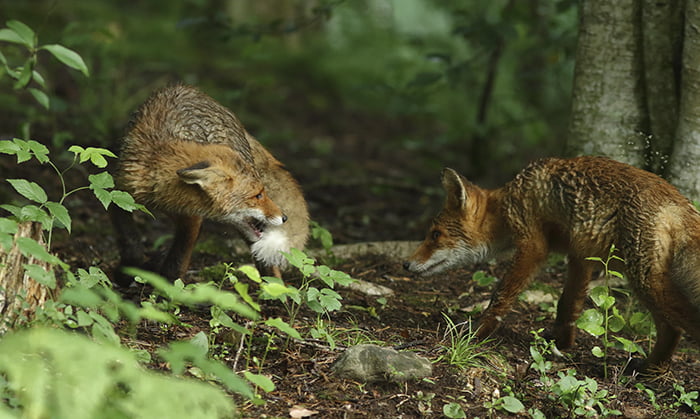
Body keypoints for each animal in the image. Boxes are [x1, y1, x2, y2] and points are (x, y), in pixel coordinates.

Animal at [110, 83, 308, 284]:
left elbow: (177, 261)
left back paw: (276, 287)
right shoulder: (118, 192)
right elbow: (130, 240)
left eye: (263, 192)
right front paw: (128, 269)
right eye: (258, 195)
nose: (285, 217)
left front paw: (170, 287)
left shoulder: (191, 219)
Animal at [402, 157, 700, 370]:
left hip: (644, 279)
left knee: (679, 324)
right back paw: (651, 367)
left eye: (435, 235)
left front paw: (476, 333)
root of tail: (681, 203)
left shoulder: (533, 246)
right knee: (671, 329)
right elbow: (569, 304)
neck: (509, 201)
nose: (405, 264)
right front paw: (562, 342)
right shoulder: (580, 254)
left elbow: (501, 295)